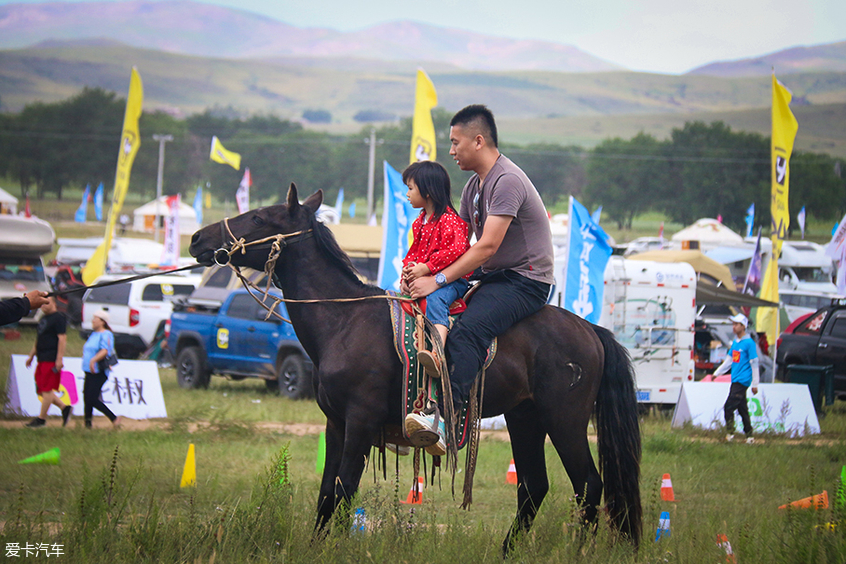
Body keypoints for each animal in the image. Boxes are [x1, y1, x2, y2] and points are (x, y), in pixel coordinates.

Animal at [192, 184, 644, 552]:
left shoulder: (360, 422)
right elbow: (325, 494)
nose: (198, 238)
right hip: (525, 418)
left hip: (564, 421)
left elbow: (343, 489)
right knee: (534, 487)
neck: (344, 321)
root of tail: (589, 329)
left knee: (588, 485)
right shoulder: (335, 424)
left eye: (258, 217)